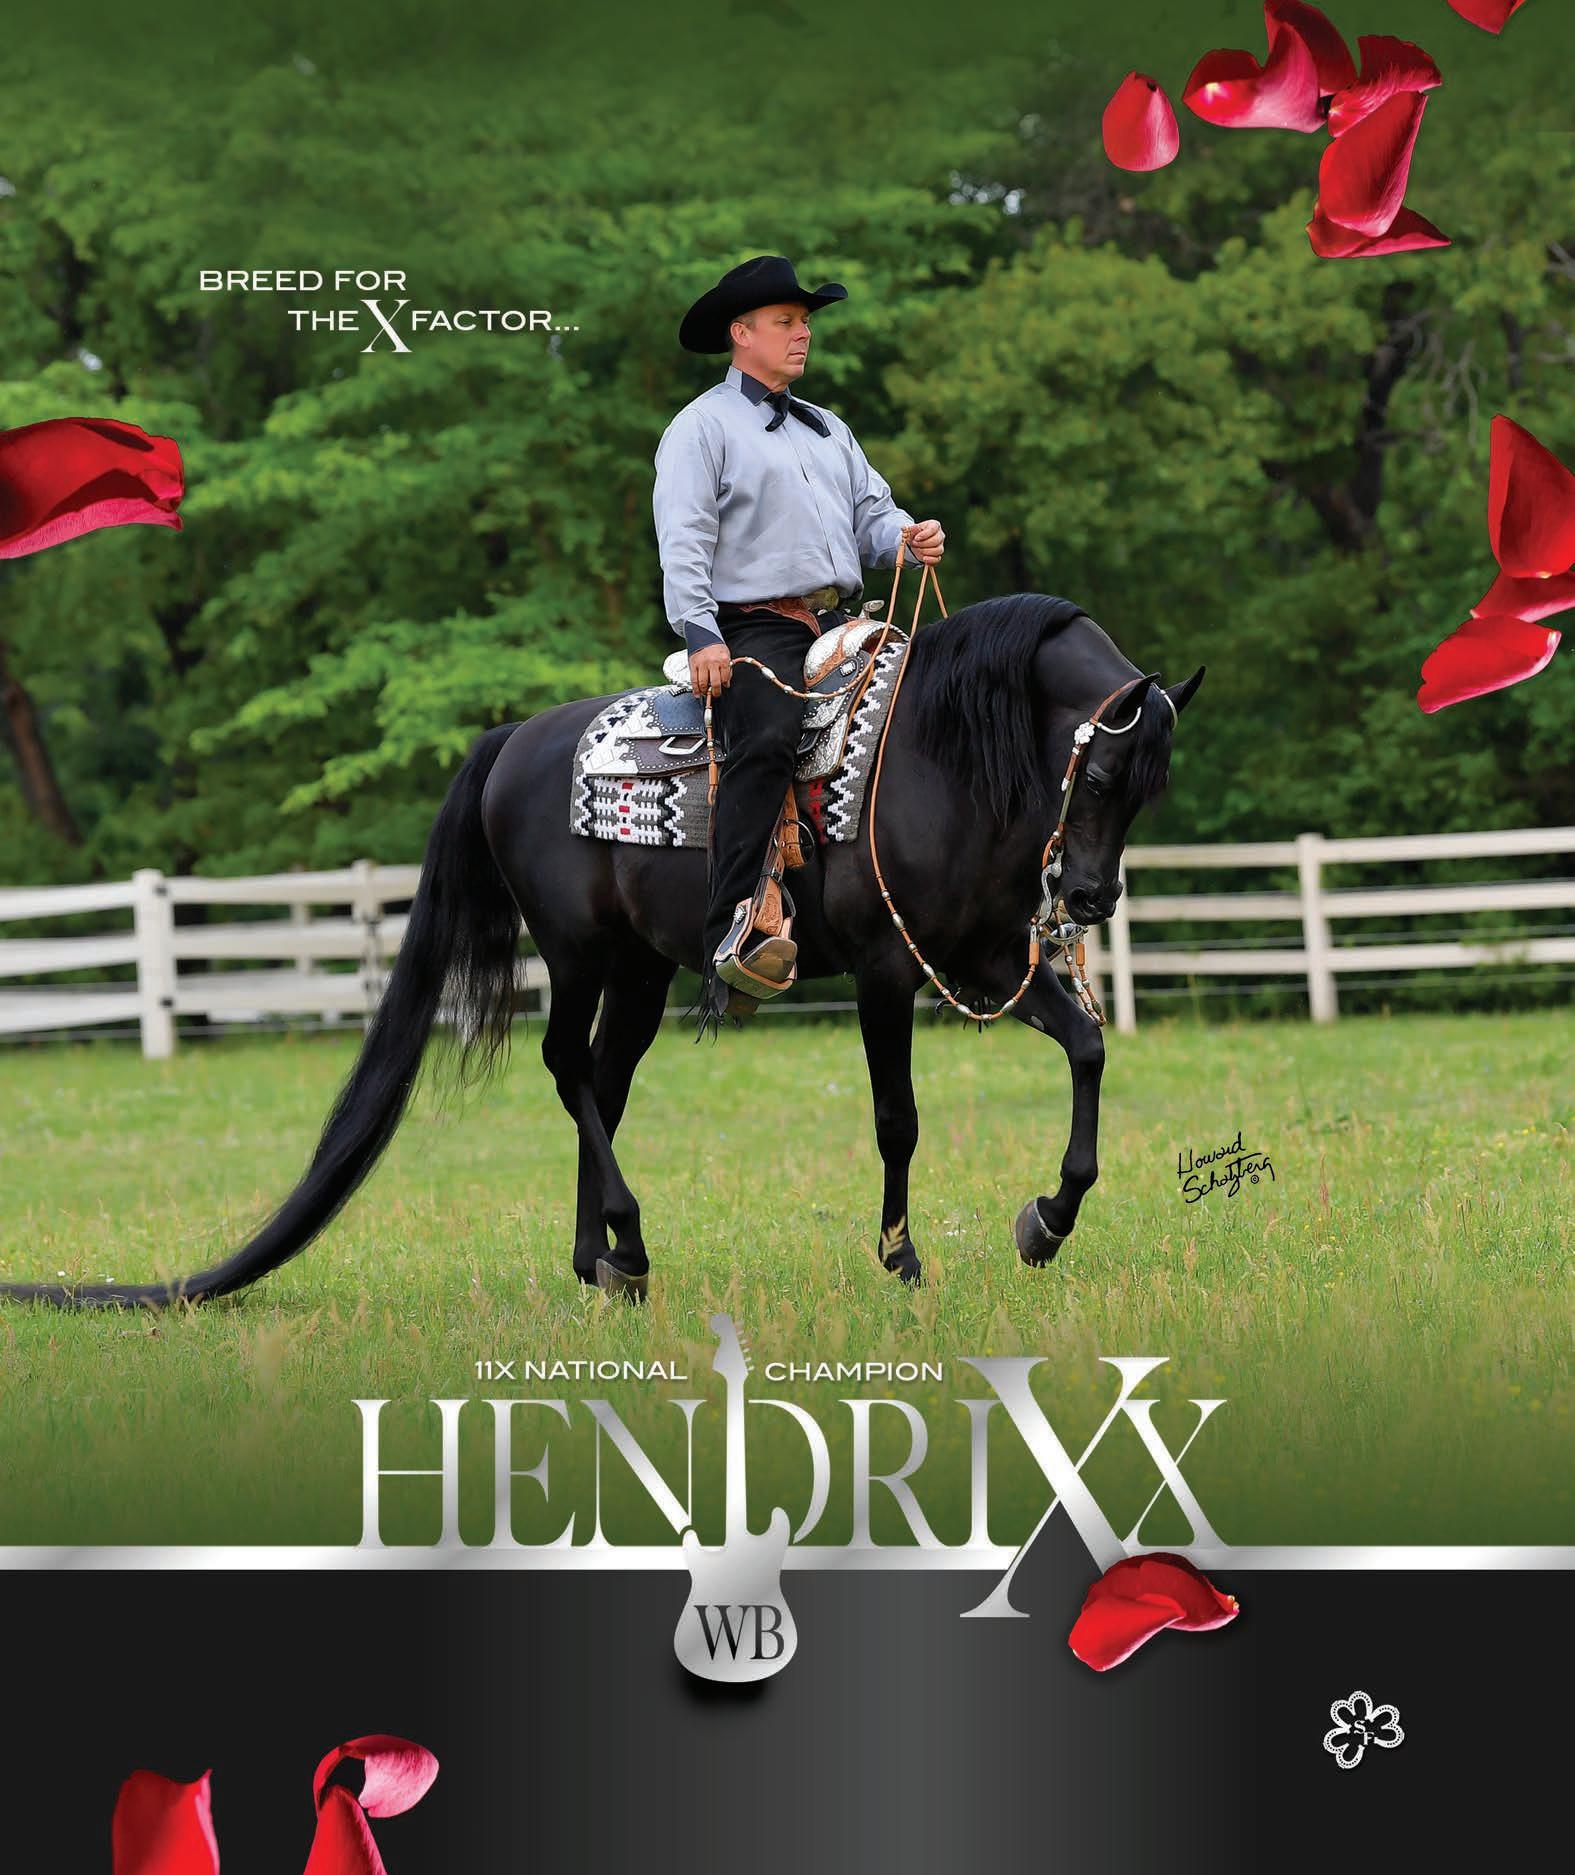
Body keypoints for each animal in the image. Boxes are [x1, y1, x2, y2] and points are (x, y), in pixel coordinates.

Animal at [1, 593, 1202, 1309]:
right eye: (1100, 771)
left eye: (1152, 784)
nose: (1088, 895)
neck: (933, 757)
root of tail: (513, 741)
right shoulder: (885, 972)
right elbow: (897, 1118)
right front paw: (902, 1258)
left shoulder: (985, 961)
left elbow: (1088, 1049)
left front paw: (1046, 1222)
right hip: (577, 953)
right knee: (565, 1067)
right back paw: (624, 1240)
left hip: (637, 967)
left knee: (604, 1082)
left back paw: (604, 1260)